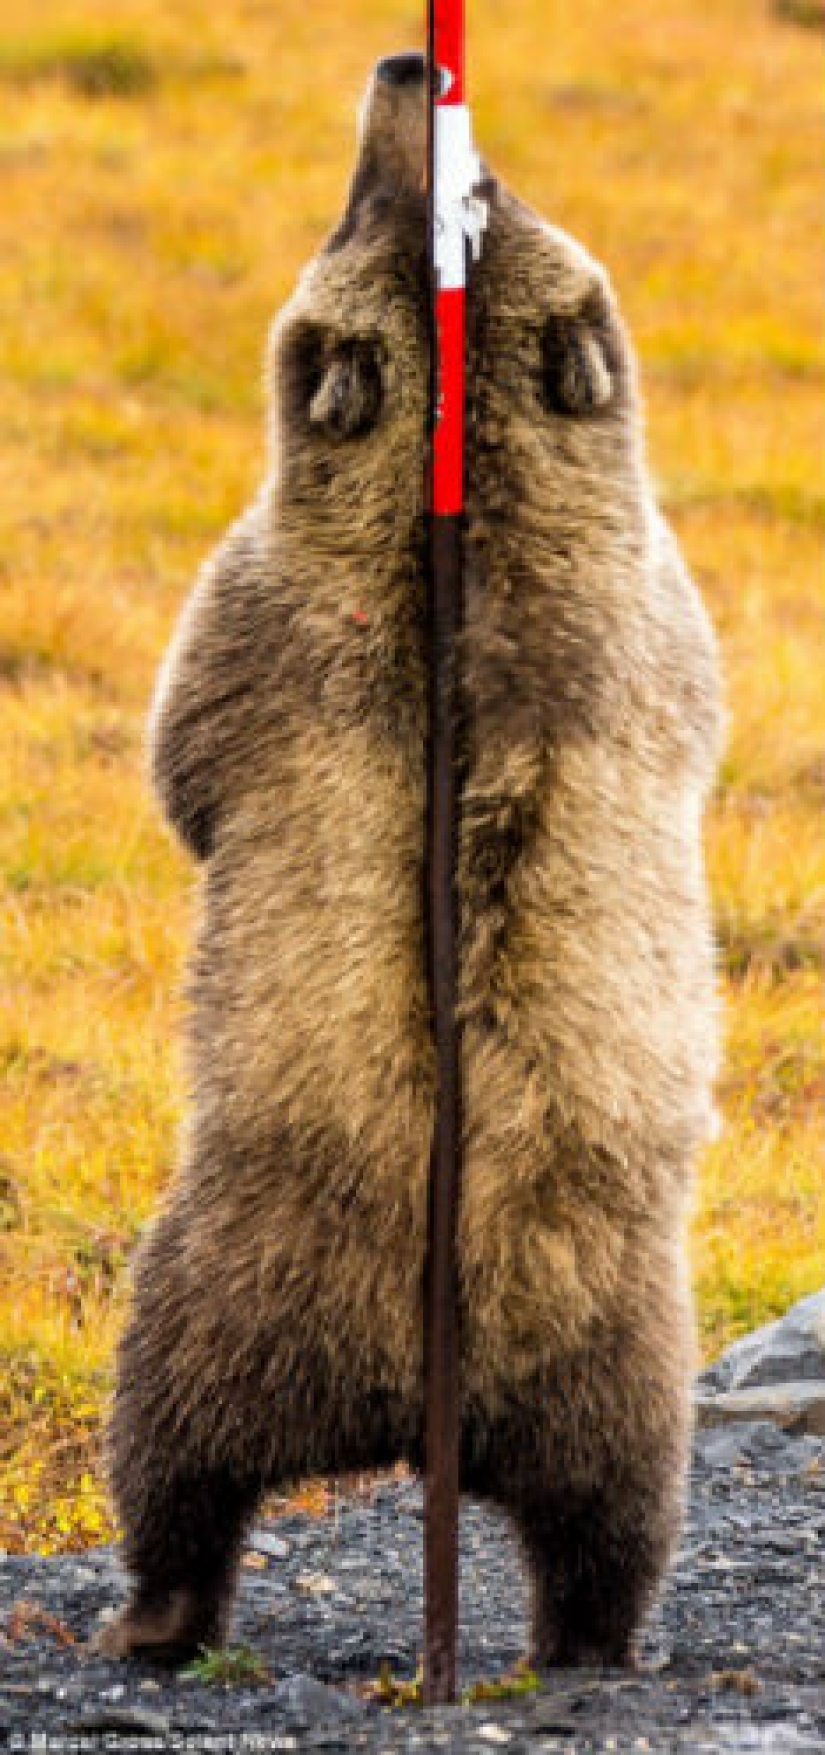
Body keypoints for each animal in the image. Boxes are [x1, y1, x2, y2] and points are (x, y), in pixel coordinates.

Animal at [94, 53, 723, 1670]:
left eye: (473, 189)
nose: (403, 65)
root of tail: (422, 1403)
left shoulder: (256, 594)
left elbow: (184, 744)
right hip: (623, 1369)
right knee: (605, 1519)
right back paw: (585, 1638)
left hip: (213, 1290)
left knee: (177, 1460)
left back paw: (152, 1611)